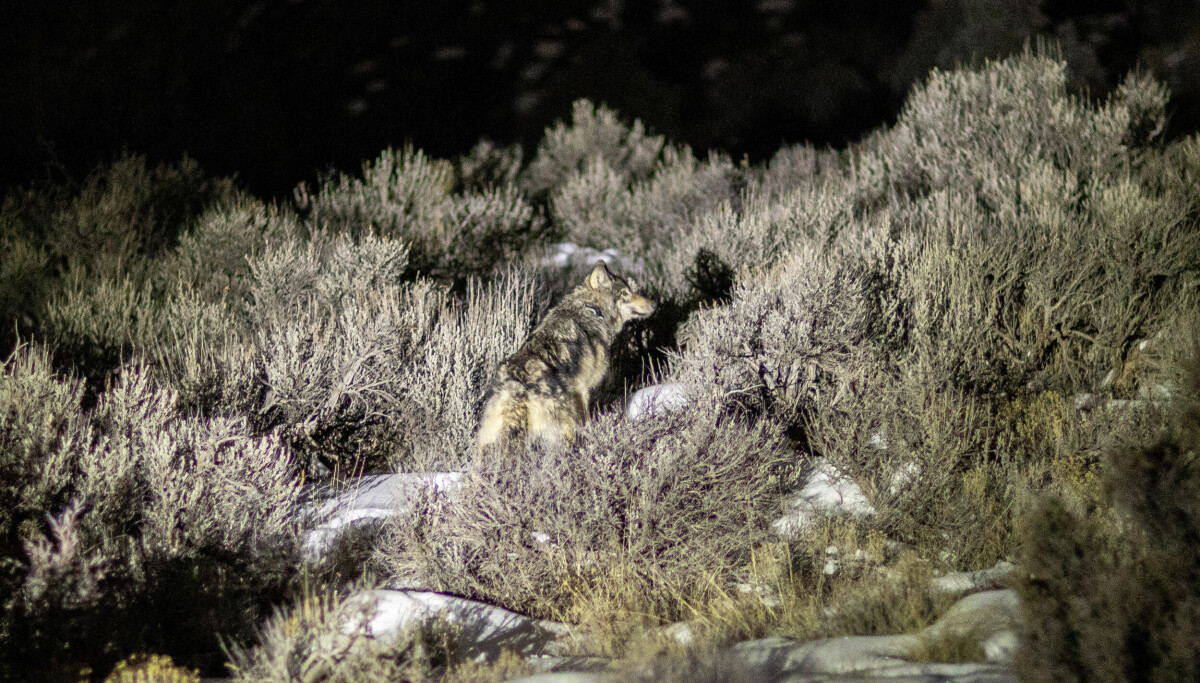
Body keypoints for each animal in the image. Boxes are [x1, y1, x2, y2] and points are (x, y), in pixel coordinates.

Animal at [477, 261, 655, 452]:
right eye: (625, 293)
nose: (654, 304)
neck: (591, 309)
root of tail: (515, 388)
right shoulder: (583, 390)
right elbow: (585, 421)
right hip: (563, 425)